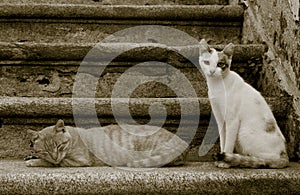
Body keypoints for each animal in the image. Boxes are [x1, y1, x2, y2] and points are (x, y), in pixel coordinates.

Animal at [24, 119, 189, 168]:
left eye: (59, 146)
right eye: (45, 151)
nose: (55, 156)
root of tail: (183, 142)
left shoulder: (79, 160)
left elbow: (54, 163)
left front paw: (35, 161)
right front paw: (32, 157)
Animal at [198, 38, 290, 168]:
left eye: (220, 64)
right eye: (206, 62)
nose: (211, 71)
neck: (217, 86)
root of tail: (284, 152)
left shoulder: (232, 121)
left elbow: (228, 144)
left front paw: (225, 162)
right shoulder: (220, 119)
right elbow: (223, 141)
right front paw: (222, 157)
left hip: (243, 133)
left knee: (266, 160)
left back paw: (244, 160)